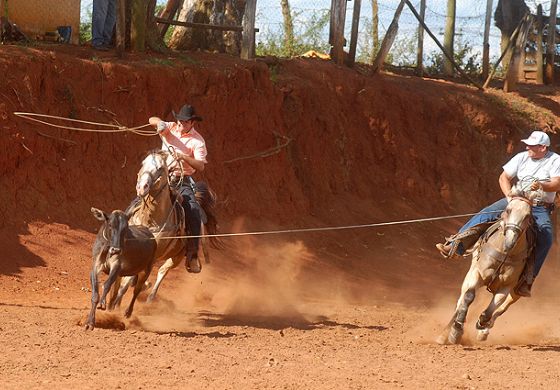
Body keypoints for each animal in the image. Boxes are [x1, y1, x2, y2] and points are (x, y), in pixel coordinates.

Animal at [438, 186, 540, 344]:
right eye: (508, 210)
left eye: (528, 215)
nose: (510, 241)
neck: (504, 252)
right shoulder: (477, 274)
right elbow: (468, 297)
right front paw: (456, 330)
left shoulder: (506, 286)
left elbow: (491, 310)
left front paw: (481, 323)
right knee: (460, 301)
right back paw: (444, 334)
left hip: (516, 292)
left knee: (501, 309)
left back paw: (484, 330)